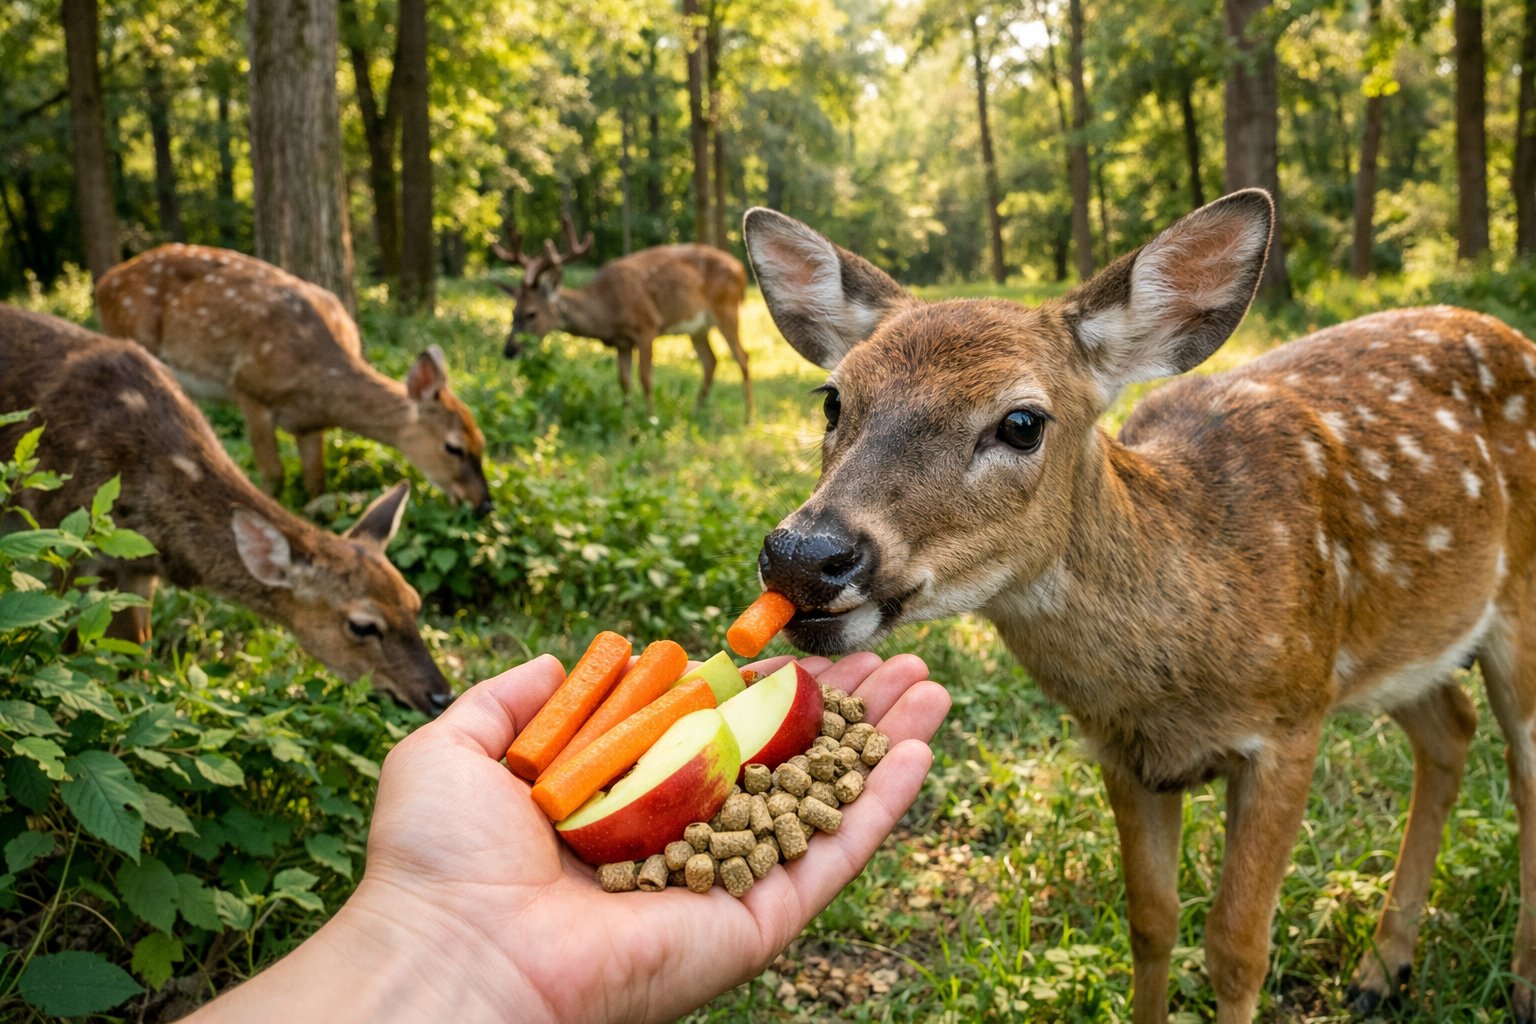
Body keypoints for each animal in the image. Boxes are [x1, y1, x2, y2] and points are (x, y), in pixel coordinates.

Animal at [0, 304, 454, 716]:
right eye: (362, 625)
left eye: (414, 603)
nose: (440, 695)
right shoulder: (66, 543)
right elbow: (71, 650)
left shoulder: (137, 570)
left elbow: (136, 660)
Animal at [93, 244, 493, 514]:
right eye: (454, 446)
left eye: (482, 441)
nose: (485, 504)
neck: (316, 381)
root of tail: (102, 283)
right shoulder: (248, 388)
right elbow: (273, 474)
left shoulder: (309, 423)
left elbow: (317, 480)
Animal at [492, 215, 753, 420]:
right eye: (513, 312)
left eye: (531, 314)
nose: (509, 350)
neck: (606, 308)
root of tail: (740, 269)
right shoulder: (622, 342)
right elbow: (624, 381)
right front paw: (626, 420)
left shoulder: (647, 327)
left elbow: (645, 378)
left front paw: (651, 420)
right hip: (698, 328)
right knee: (711, 361)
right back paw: (695, 413)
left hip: (727, 310)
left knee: (742, 356)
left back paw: (748, 417)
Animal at [743, 190, 1536, 1022]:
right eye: (833, 399)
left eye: (1022, 422)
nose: (802, 556)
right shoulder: (1123, 753)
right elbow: (1152, 922)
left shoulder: (1292, 720)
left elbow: (1237, 948)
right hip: (1406, 641)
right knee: (1450, 730)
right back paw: (1382, 969)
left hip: (1514, 601)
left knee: (1523, 764)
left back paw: (1519, 982)